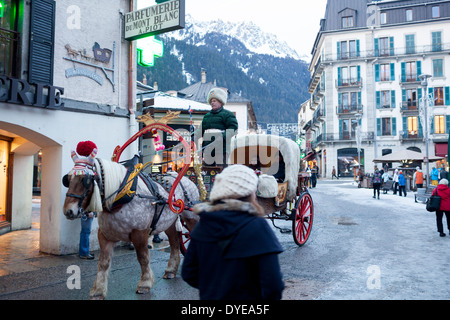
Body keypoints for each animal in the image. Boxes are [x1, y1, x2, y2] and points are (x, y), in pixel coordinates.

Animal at [62, 150, 200, 300]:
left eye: (85, 180)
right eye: (67, 179)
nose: (69, 211)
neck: (121, 196)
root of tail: (188, 180)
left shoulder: (139, 232)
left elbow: (143, 257)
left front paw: (145, 283)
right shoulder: (104, 235)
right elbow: (103, 263)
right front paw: (98, 291)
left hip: (191, 217)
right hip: (169, 223)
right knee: (174, 242)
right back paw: (171, 270)